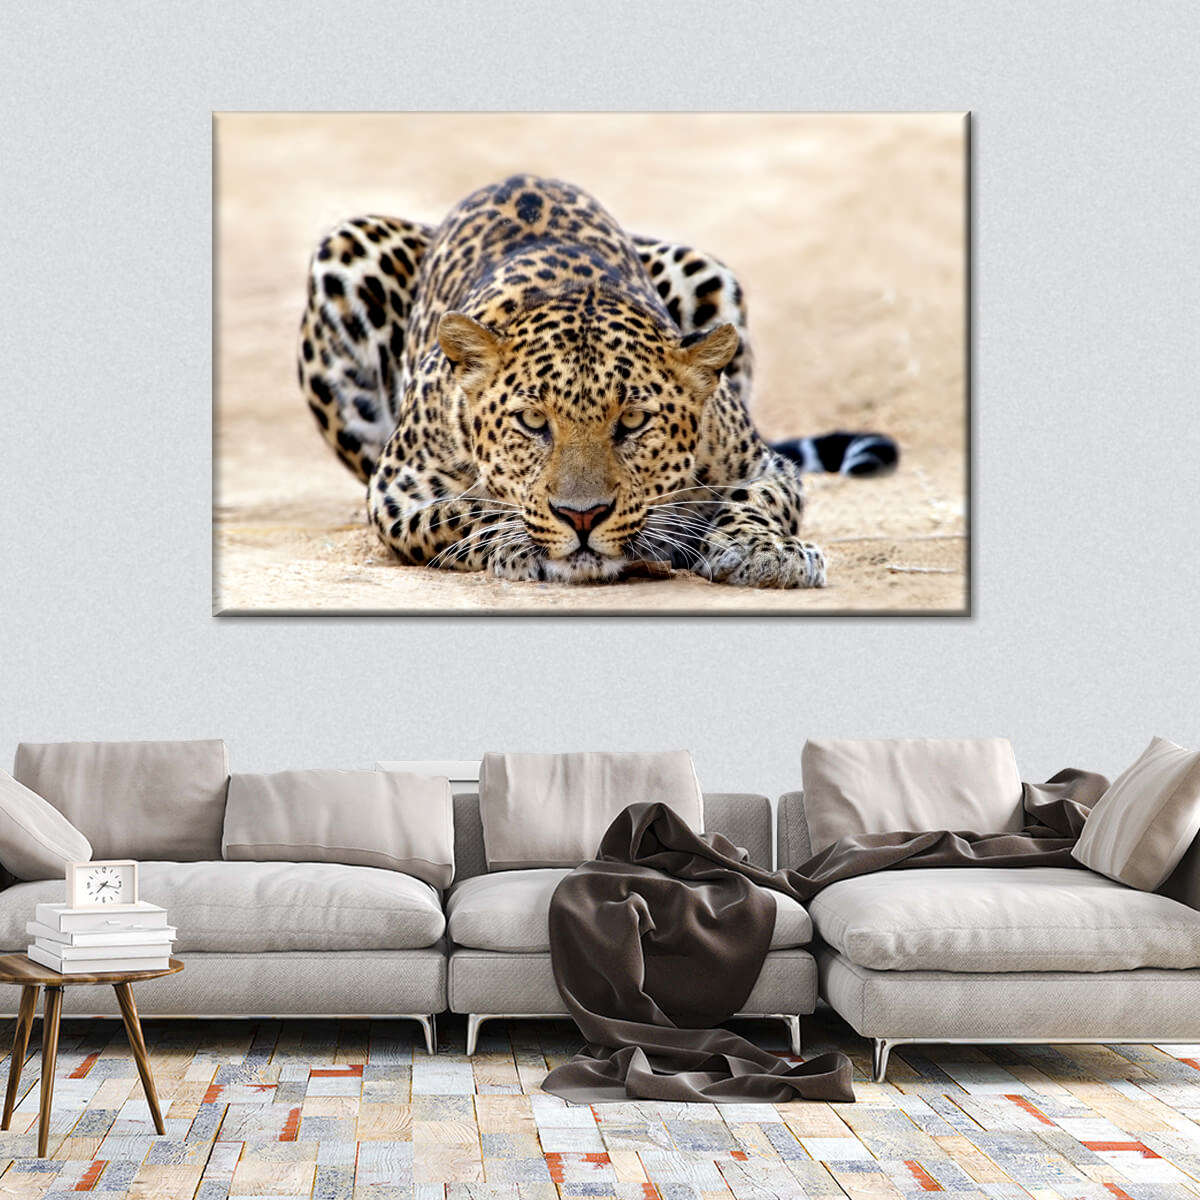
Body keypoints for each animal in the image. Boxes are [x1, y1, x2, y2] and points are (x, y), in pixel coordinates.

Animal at [298, 174, 897, 587]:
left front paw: (766, 552)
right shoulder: (397, 491)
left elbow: (755, 500)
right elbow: (467, 511)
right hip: (346, 249)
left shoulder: (764, 465)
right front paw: (519, 542)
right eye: (532, 421)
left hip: (703, 267)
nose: (581, 517)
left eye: (632, 422)